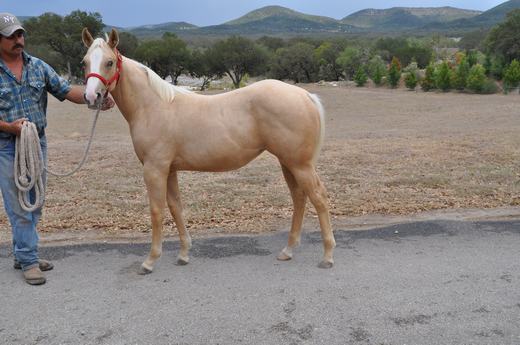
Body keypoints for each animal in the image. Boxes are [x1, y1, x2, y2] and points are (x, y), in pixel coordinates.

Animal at [79, 28, 336, 272]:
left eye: (109, 62)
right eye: (84, 62)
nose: (92, 96)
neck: (154, 106)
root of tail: (305, 95)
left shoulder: (155, 169)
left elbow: (157, 211)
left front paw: (150, 261)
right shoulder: (170, 169)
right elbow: (176, 207)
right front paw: (183, 254)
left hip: (300, 165)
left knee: (319, 198)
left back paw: (327, 256)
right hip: (288, 162)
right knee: (299, 198)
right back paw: (288, 250)